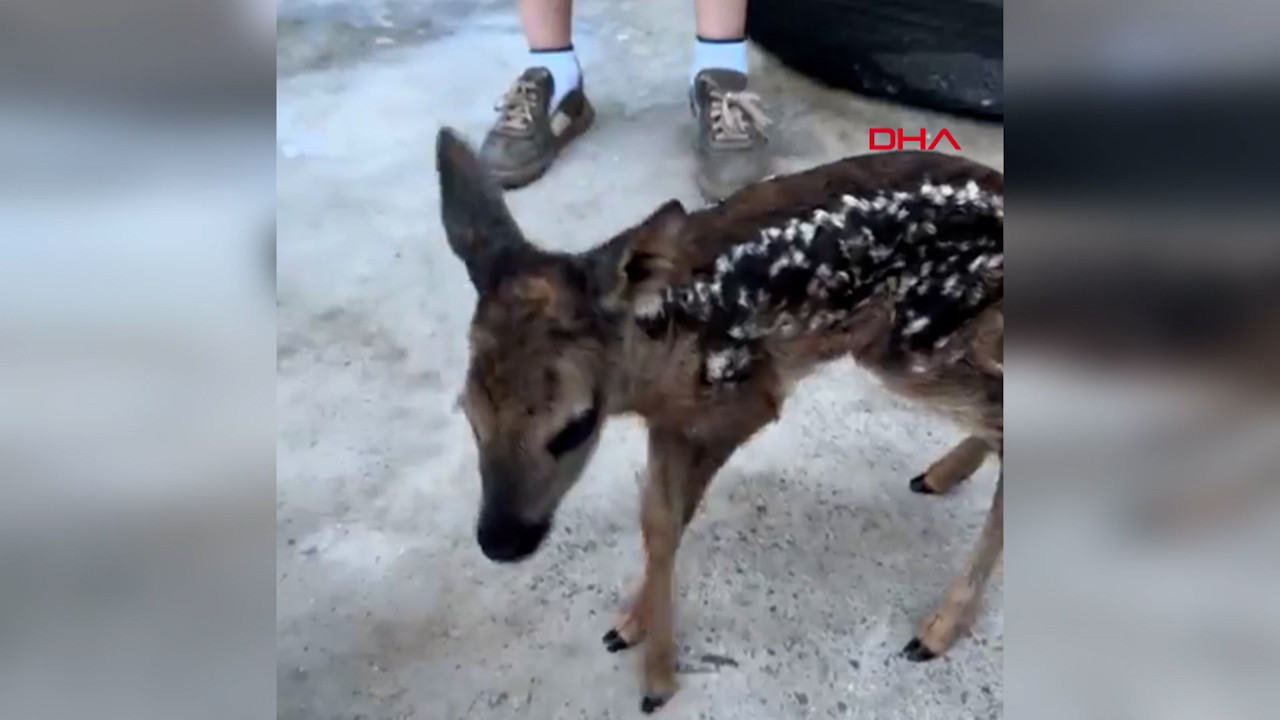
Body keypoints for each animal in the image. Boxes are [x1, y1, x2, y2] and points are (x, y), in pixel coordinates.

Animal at [435, 126, 1003, 713]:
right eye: (470, 414)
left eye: (575, 425)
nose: (501, 540)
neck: (658, 354)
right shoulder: (671, 421)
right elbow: (659, 518)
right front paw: (634, 625)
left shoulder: (743, 400)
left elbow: (668, 522)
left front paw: (657, 678)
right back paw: (940, 476)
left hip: (915, 340)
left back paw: (937, 628)